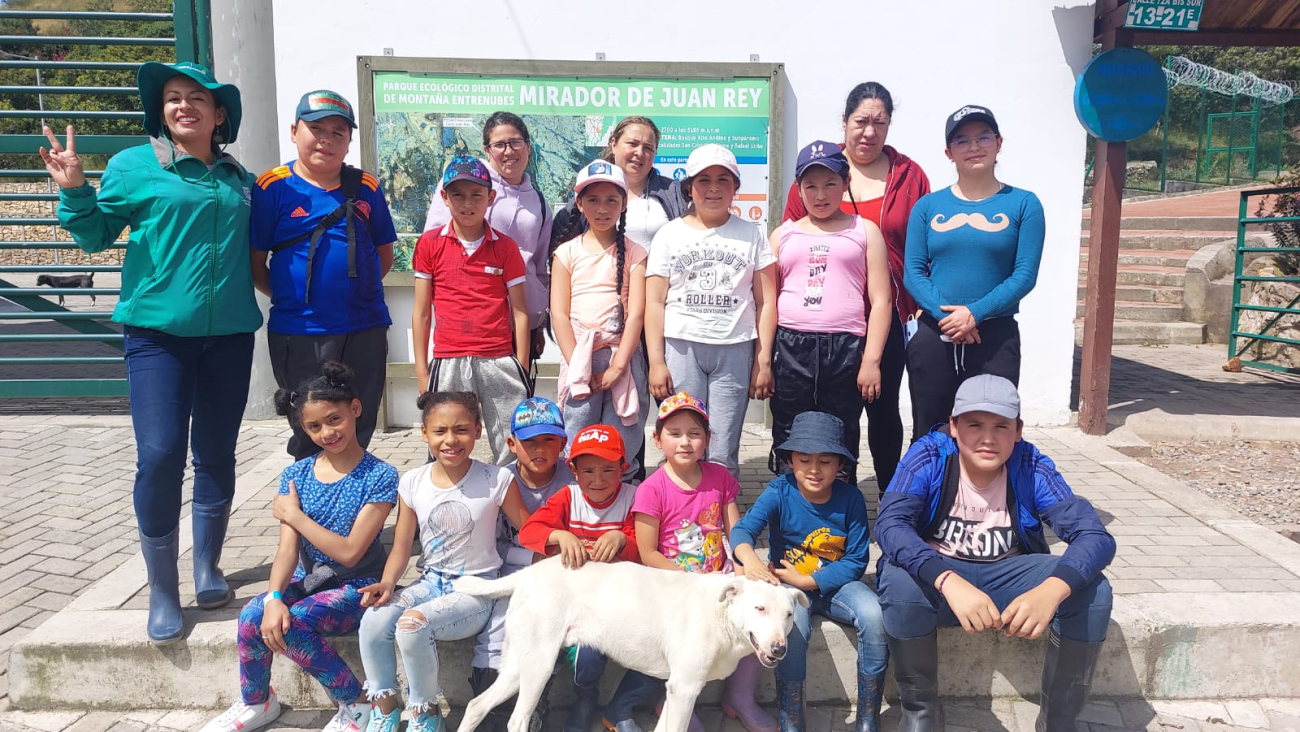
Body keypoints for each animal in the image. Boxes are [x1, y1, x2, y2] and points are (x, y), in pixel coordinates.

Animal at [454, 556, 800, 732]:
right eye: (759, 609)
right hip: (539, 666)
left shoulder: (676, 690)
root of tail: (527, 573)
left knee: (476, 706)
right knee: (517, 719)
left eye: (788, 614)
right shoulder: (685, 689)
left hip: (520, 665)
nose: (780, 650)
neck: (721, 614)